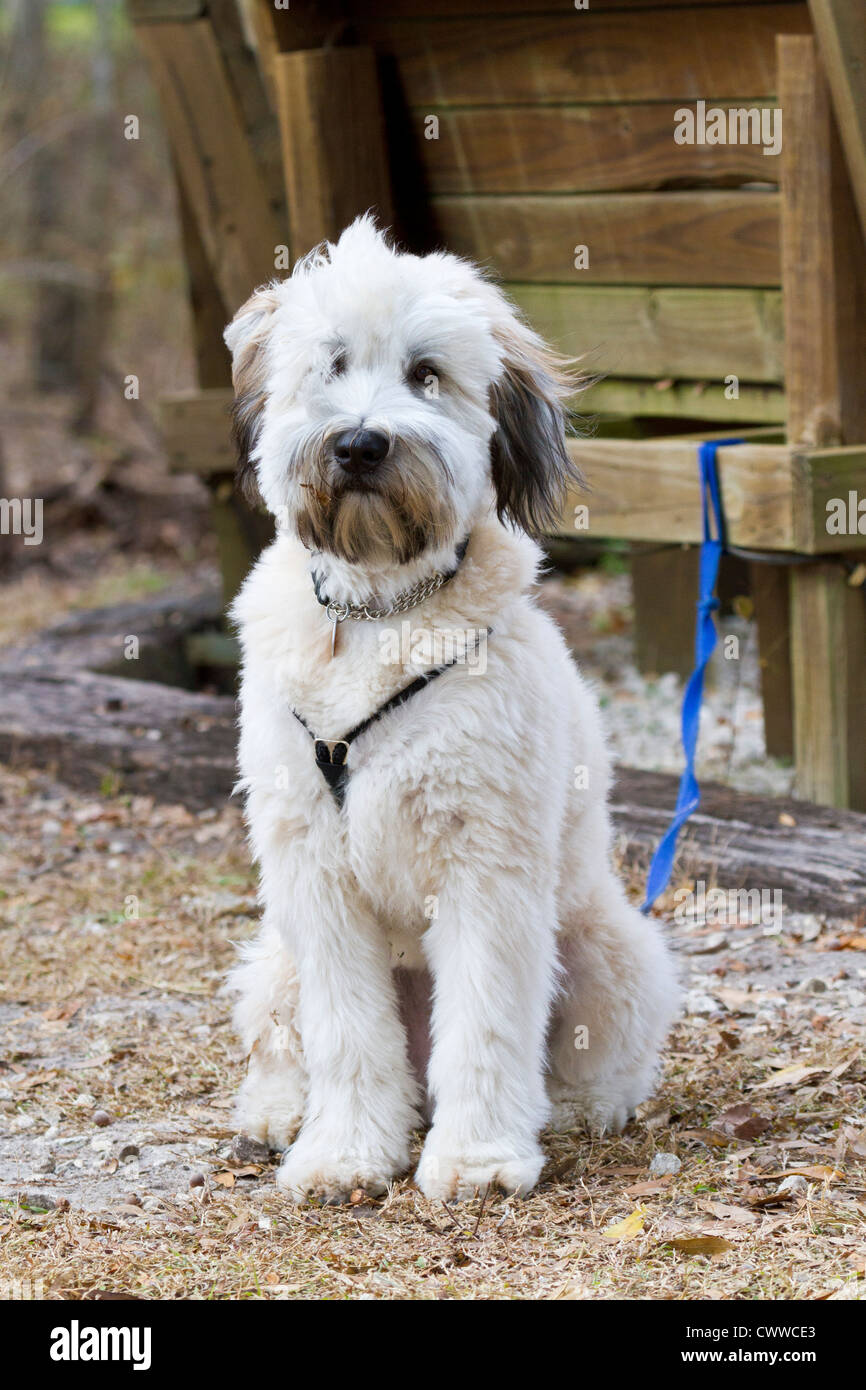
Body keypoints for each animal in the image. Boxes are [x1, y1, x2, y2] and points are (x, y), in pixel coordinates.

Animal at [222, 219, 678, 1206]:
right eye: (332, 364)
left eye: (426, 372)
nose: (360, 445)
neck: (376, 616)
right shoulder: (316, 878)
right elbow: (347, 1033)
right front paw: (345, 1152)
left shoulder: (485, 868)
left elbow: (488, 1024)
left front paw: (476, 1158)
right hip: (275, 956)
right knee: (290, 1039)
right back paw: (278, 1111)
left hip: (602, 945)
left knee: (594, 1052)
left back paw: (574, 1110)